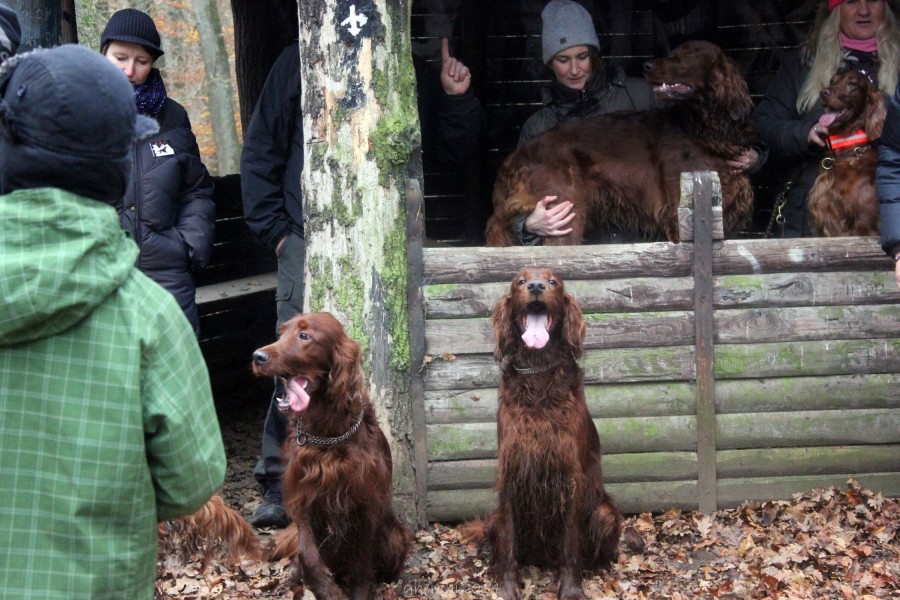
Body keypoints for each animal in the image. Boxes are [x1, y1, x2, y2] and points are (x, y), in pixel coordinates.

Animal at [252, 312, 413, 600]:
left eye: (304, 336)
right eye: (281, 333)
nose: (257, 356)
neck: (325, 435)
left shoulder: (365, 500)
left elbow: (362, 559)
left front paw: (358, 592)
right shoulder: (303, 496)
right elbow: (307, 554)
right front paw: (326, 590)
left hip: (395, 538)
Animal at [485, 40, 755, 245]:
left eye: (687, 54)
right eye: (674, 52)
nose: (646, 65)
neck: (703, 127)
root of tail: (517, 155)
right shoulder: (681, 213)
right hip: (565, 213)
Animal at [486, 267, 621, 600]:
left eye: (553, 282)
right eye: (520, 281)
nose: (535, 286)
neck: (538, 371)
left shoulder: (568, 474)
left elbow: (570, 543)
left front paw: (571, 589)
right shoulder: (512, 469)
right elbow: (509, 545)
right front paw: (508, 587)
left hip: (604, 513)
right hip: (494, 519)